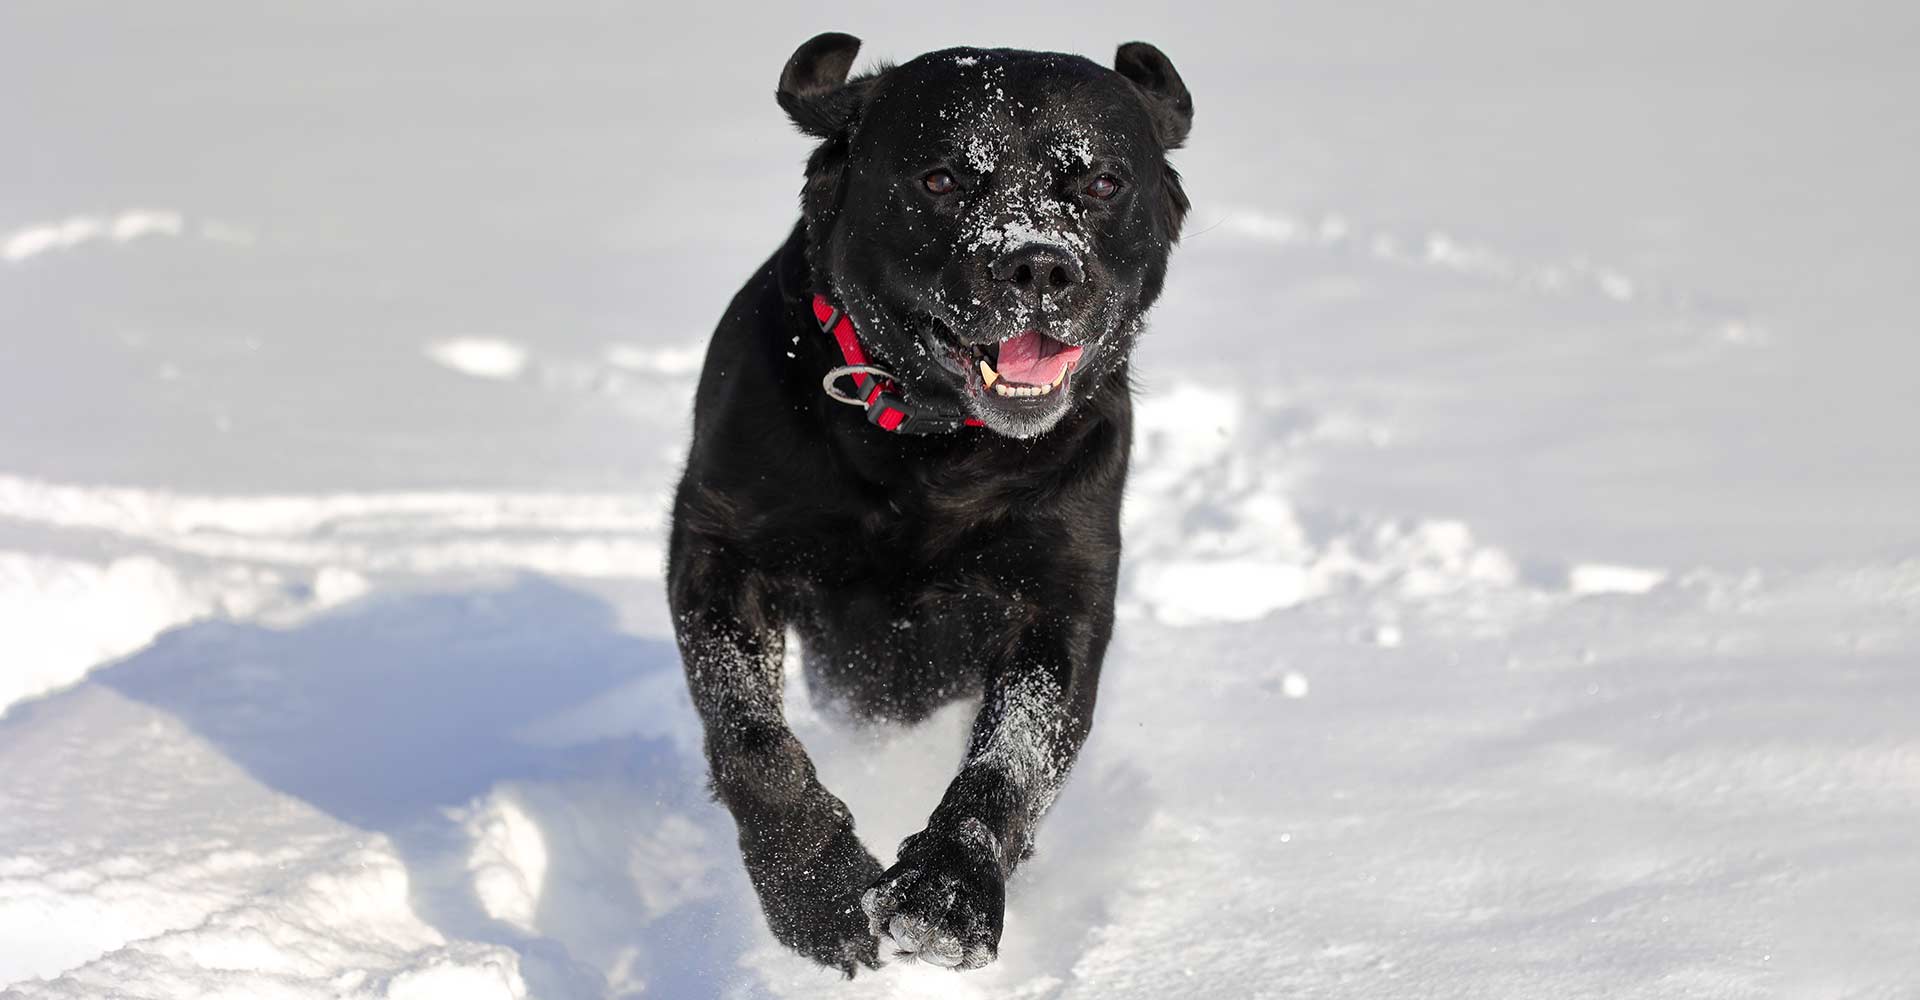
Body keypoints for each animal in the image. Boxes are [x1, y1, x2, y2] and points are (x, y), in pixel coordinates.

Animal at [668, 33, 1190, 975]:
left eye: (1101, 182)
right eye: (941, 178)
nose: (1038, 263)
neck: (932, 453)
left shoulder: (1063, 596)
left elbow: (1011, 758)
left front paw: (947, 891)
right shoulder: (718, 547)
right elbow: (749, 735)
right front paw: (818, 888)